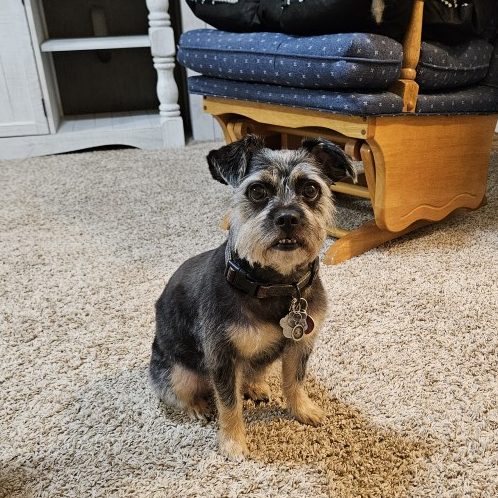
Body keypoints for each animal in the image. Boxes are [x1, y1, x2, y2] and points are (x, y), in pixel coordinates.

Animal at [149, 135, 356, 459]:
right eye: (257, 191)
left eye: (310, 189)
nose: (288, 218)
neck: (276, 285)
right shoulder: (222, 357)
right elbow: (229, 403)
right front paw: (233, 442)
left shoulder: (301, 345)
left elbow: (294, 381)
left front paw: (302, 409)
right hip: (177, 373)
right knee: (179, 392)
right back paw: (197, 405)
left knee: (253, 373)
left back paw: (255, 387)